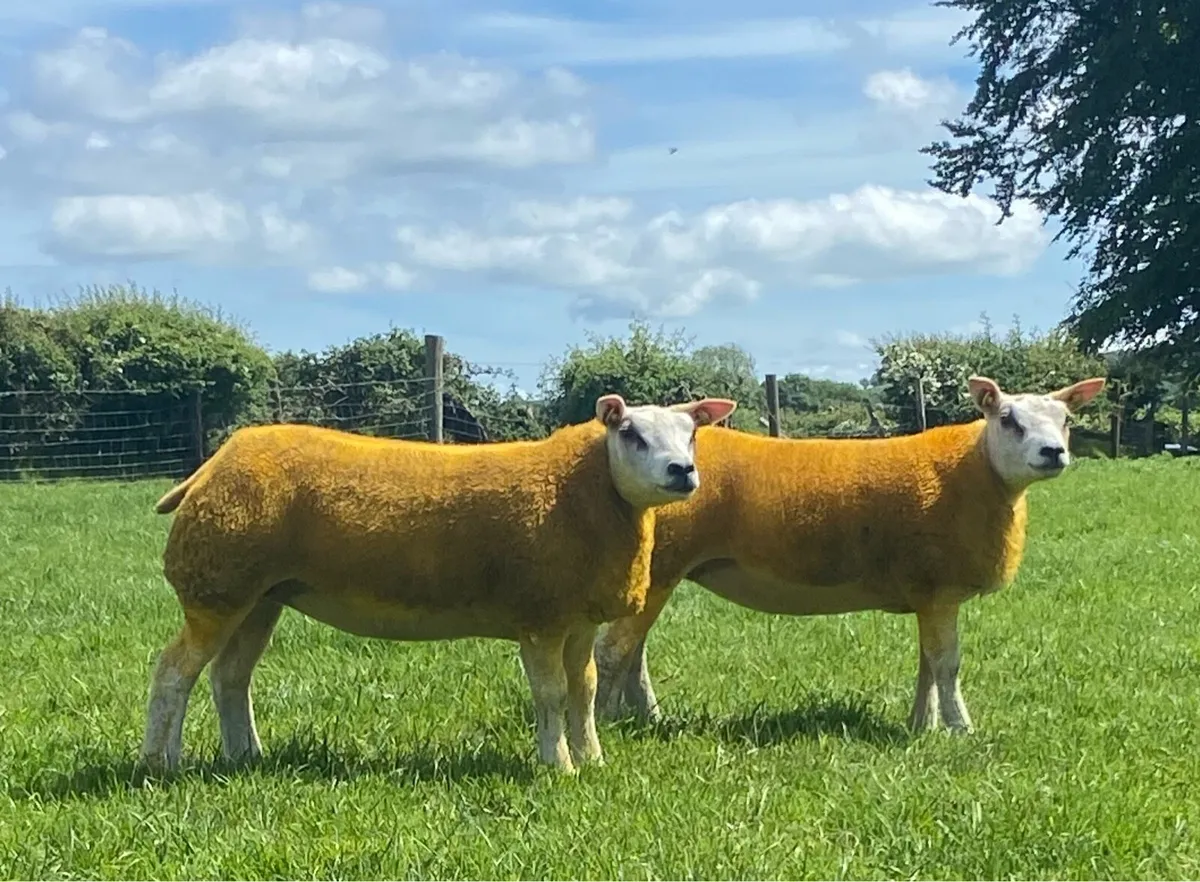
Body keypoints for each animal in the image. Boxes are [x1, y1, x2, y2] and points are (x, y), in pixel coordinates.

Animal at [138, 393, 738, 775]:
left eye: (691, 434)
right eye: (630, 434)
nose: (682, 471)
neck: (585, 491)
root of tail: (215, 463)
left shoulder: (578, 618)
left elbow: (584, 689)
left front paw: (591, 759)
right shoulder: (540, 614)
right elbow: (550, 694)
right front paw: (557, 767)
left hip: (260, 595)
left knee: (230, 677)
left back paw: (246, 756)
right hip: (217, 584)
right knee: (174, 672)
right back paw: (160, 764)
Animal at [593, 375, 1106, 733]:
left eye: (1066, 420)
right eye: (1008, 420)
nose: (1053, 452)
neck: (977, 473)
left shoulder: (926, 592)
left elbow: (927, 663)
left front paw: (922, 726)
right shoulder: (939, 587)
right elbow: (946, 664)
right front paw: (961, 730)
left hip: (659, 572)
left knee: (633, 652)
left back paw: (644, 718)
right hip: (661, 567)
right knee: (613, 650)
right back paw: (604, 722)